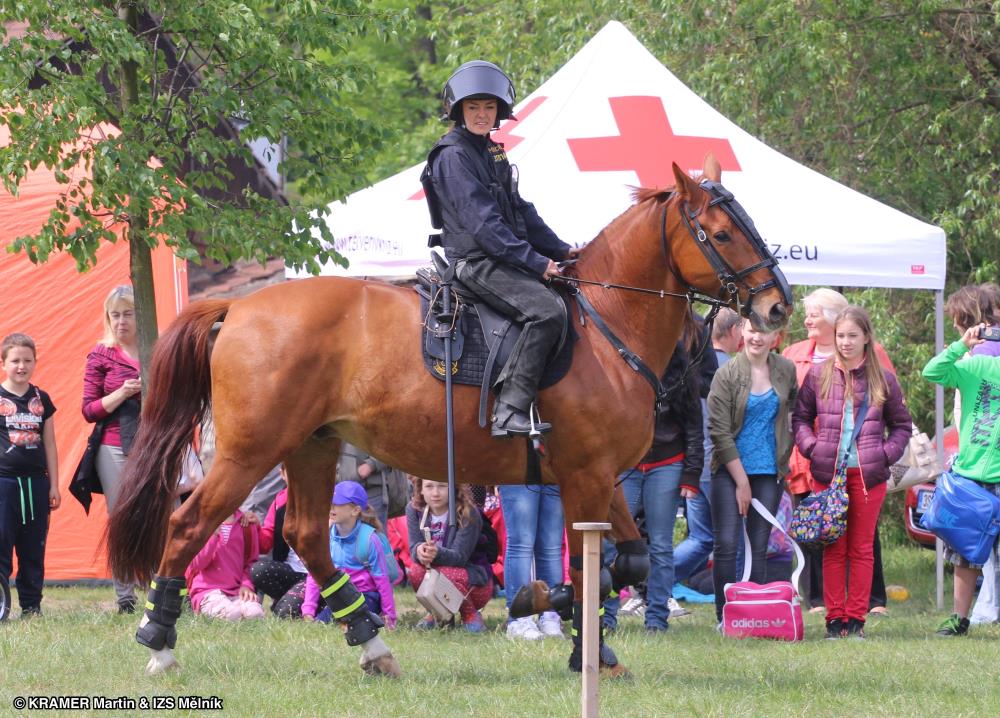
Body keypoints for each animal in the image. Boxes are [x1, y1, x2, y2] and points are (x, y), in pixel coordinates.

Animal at [107, 156, 791, 678]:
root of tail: (238, 309)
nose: (778, 307)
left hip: (312, 447)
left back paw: (373, 645)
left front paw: (574, 632)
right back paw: (160, 646)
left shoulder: (597, 479)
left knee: (306, 536)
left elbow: (629, 560)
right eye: (722, 234)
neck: (605, 326)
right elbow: (588, 567)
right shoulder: (585, 478)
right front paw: (570, 634)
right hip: (249, 453)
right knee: (187, 525)